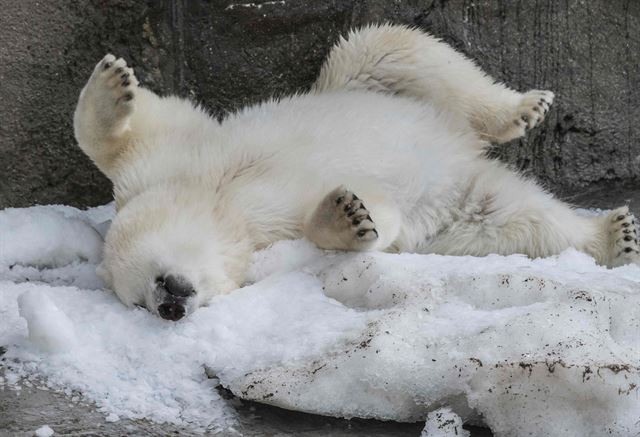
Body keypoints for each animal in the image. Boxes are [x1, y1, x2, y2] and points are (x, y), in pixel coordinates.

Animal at [74, 23, 636, 318]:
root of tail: (459, 149)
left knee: (389, 48)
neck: (220, 204)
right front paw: (350, 214)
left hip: (370, 87)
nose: (170, 305)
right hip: (460, 209)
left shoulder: (175, 160)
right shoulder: (270, 241)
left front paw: (112, 81)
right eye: (137, 304)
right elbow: (375, 223)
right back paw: (613, 235)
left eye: (150, 284)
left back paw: (523, 109)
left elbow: (146, 127)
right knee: (516, 217)